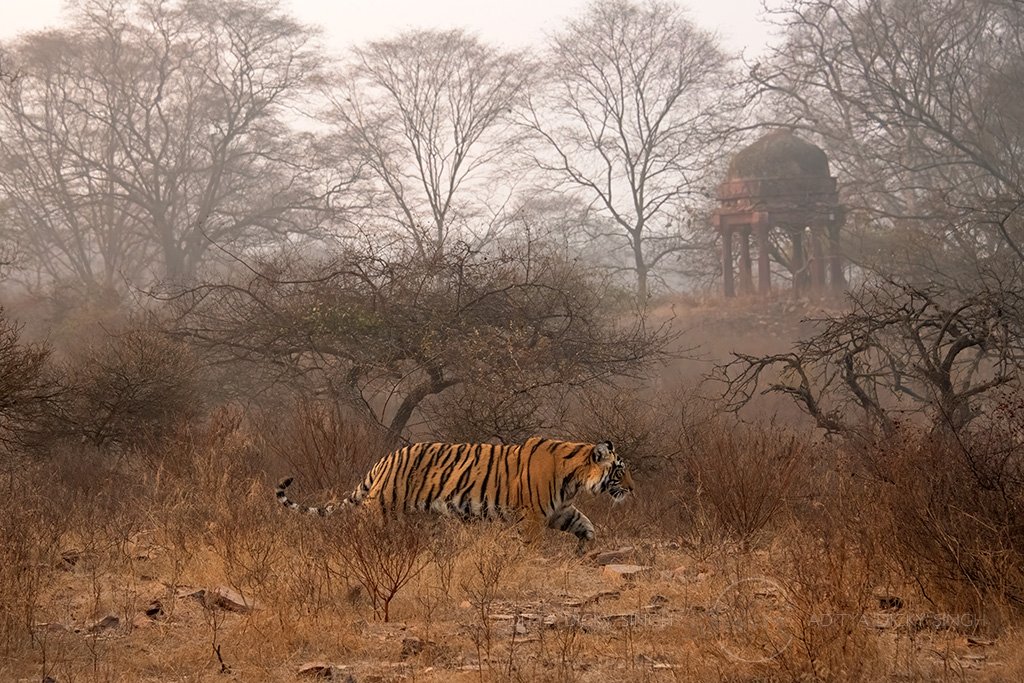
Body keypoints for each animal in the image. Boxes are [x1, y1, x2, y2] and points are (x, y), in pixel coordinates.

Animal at [276, 438, 634, 548]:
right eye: (620, 470)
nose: (632, 489)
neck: (575, 476)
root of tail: (386, 458)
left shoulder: (559, 511)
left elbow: (586, 525)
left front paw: (585, 550)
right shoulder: (533, 516)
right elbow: (532, 546)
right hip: (380, 507)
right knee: (358, 528)